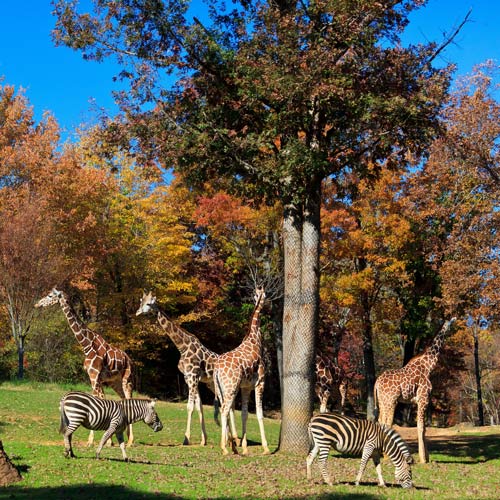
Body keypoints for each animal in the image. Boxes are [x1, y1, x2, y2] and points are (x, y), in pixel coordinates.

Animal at [35, 288, 134, 448]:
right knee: (124, 399)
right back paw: (125, 435)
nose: (37, 304)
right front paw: (95, 440)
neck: (86, 346)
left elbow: (99, 400)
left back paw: (131, 441)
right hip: (114, 382)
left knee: (129, 397)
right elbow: (97, 400)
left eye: (50, 296)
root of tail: (129, 360)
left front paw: (105, 441)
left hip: (127, 379)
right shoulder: (94, 377)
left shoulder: (95, 376)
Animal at [135, 292, 238, 448]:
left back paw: (233, 438)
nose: (137, 312)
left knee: (229, 404)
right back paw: (230, 438)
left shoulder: (193, 376)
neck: (182, 347)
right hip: (212, 384)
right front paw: (203, 439)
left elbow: (189, 407)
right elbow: (199, 407)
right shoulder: (188, 378)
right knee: (227, 405)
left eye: (149, 304)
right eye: (141, 301)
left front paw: (186, 439)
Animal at [215, 288, 270, 456]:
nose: (269, 305)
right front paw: (266, 448)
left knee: (225, 409)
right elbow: (259, 413)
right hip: (231, 388)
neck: (255, 339)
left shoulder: (246, 387)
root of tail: (216, 369)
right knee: (224, 410)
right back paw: (225, 448)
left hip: (222, 389)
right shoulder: (260, 383)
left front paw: (245, 447)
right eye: (265, 295)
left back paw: (232, 446)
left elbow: (245, 414)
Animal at [376, 318, 458, 462]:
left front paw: (427, 457)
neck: (428, 367)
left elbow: (424, 428)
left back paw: (381, 453)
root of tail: (377, 383)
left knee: (380, 422)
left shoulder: (420, 400)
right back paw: (386, 456)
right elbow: (420, 427)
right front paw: (423, 459)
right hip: (391, 401)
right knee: (387, 424)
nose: (455, 320)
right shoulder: (423, 399)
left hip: (382, 401)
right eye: (450, 323)